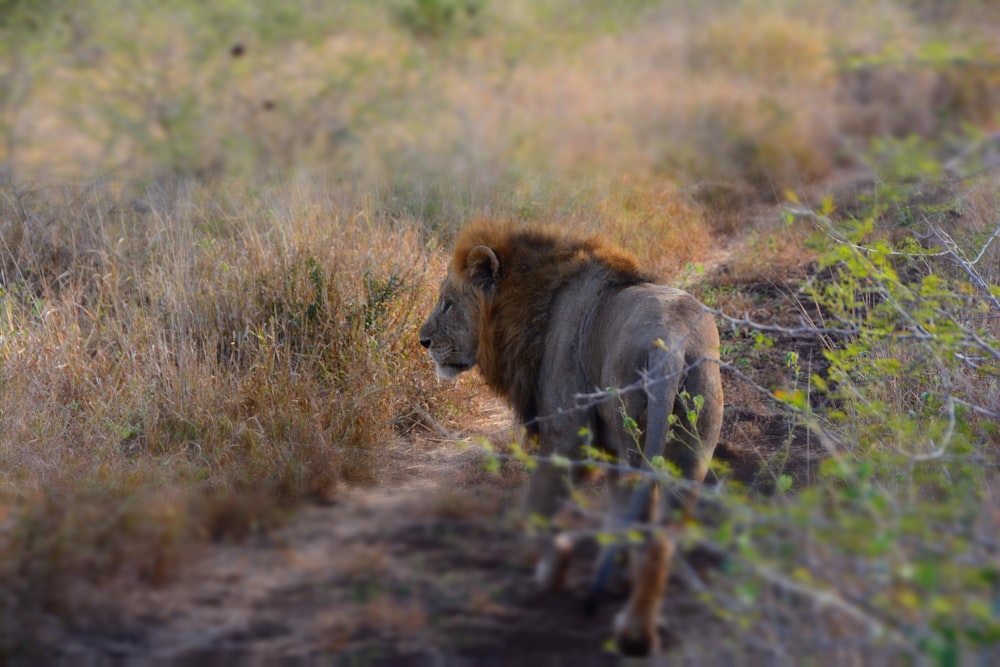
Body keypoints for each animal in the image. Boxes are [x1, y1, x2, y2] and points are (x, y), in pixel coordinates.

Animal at [418, 220, 724, 656]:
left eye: (447, 304)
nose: (423, 341)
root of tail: (671, 347)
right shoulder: (608, 448)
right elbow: (614, 513)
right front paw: (614, 579)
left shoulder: (568, 436)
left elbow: (539, 504)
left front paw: (551, 564)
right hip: (689, 449)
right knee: (661, 533)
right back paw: (638, 625)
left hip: (636, 441)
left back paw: (631, 632)